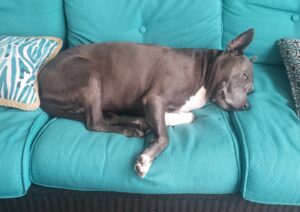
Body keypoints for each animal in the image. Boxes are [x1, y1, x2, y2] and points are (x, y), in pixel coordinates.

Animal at [38, 28, 255, 177]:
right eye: (244, 76)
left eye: (251, 90)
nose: (247, 106)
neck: (205, 73)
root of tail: (40, 81)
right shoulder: (154, 98)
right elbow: (165, 138)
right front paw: (146, 159)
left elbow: (190, 116)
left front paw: (161, 121)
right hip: (90, 74)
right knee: (95, 123)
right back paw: (130, 129)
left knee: (106, 117)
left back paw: (138, 122)